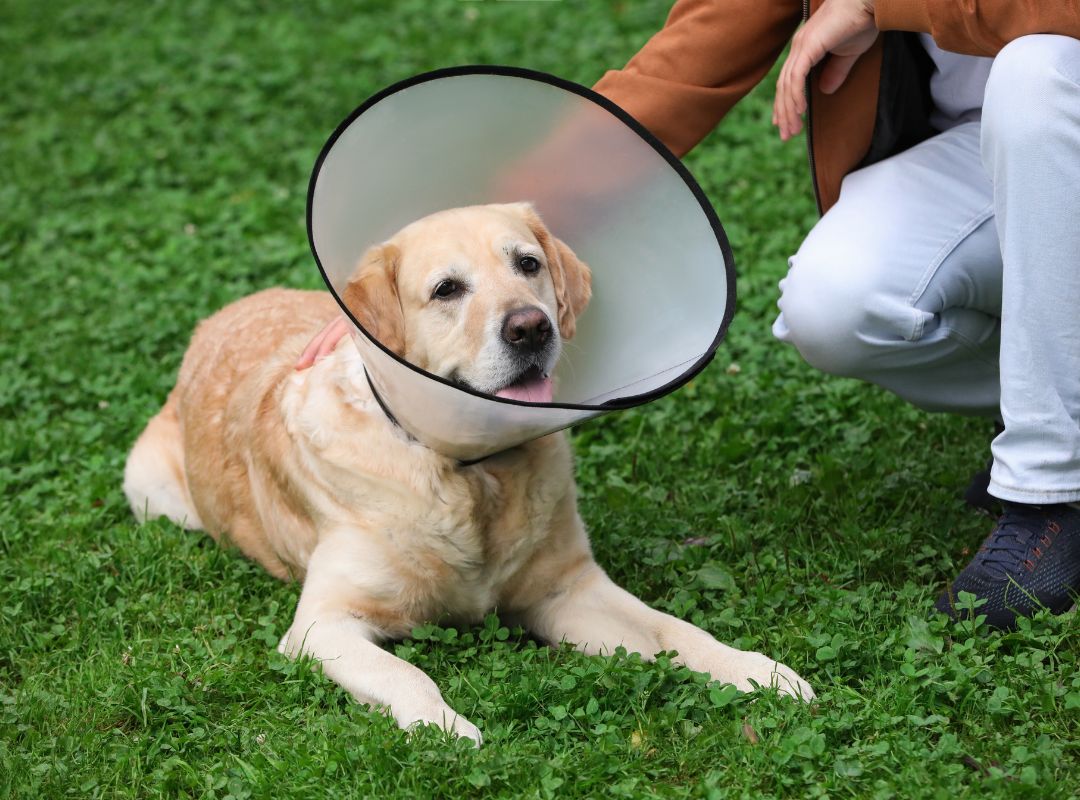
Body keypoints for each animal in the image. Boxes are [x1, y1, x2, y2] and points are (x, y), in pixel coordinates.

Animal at [122, 200, 812, 742]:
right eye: (447, 289)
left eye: (528, 264)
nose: (532, 328)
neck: (469, 471)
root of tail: (221, 312)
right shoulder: (322, 624)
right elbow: (407, 673)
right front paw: (444, 727)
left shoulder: (568, 590)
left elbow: (674, 629)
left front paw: (758, 669)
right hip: (153, 493)